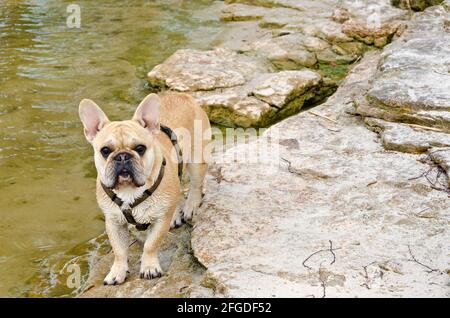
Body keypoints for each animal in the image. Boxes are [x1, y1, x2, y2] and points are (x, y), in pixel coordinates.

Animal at [78, 92, 211, 286]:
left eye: (140, 148)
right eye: (105, 150)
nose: (122, 156)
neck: (129, 189)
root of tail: (183, 95)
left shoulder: (160, 221)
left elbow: (150, 245)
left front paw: (149, 268)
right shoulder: (114, 222)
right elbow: (119, 250)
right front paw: (117, 271)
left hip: (196, 161)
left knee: (195, 185)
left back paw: (190, 207)